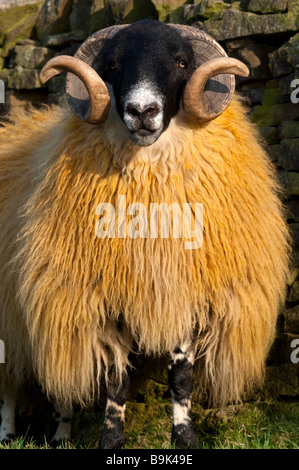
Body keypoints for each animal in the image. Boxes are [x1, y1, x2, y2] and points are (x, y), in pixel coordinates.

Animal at [0, 20, 292, 450]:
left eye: (182, 62)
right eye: (112, 64)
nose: (141, 111)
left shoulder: (184, 296)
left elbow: (181, 379)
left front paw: (184, 438)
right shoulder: (103, 298)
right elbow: (116, 382)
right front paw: (110, 440)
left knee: (62, 384)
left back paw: (61, 435)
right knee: (14, 383)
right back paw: (9, 433)